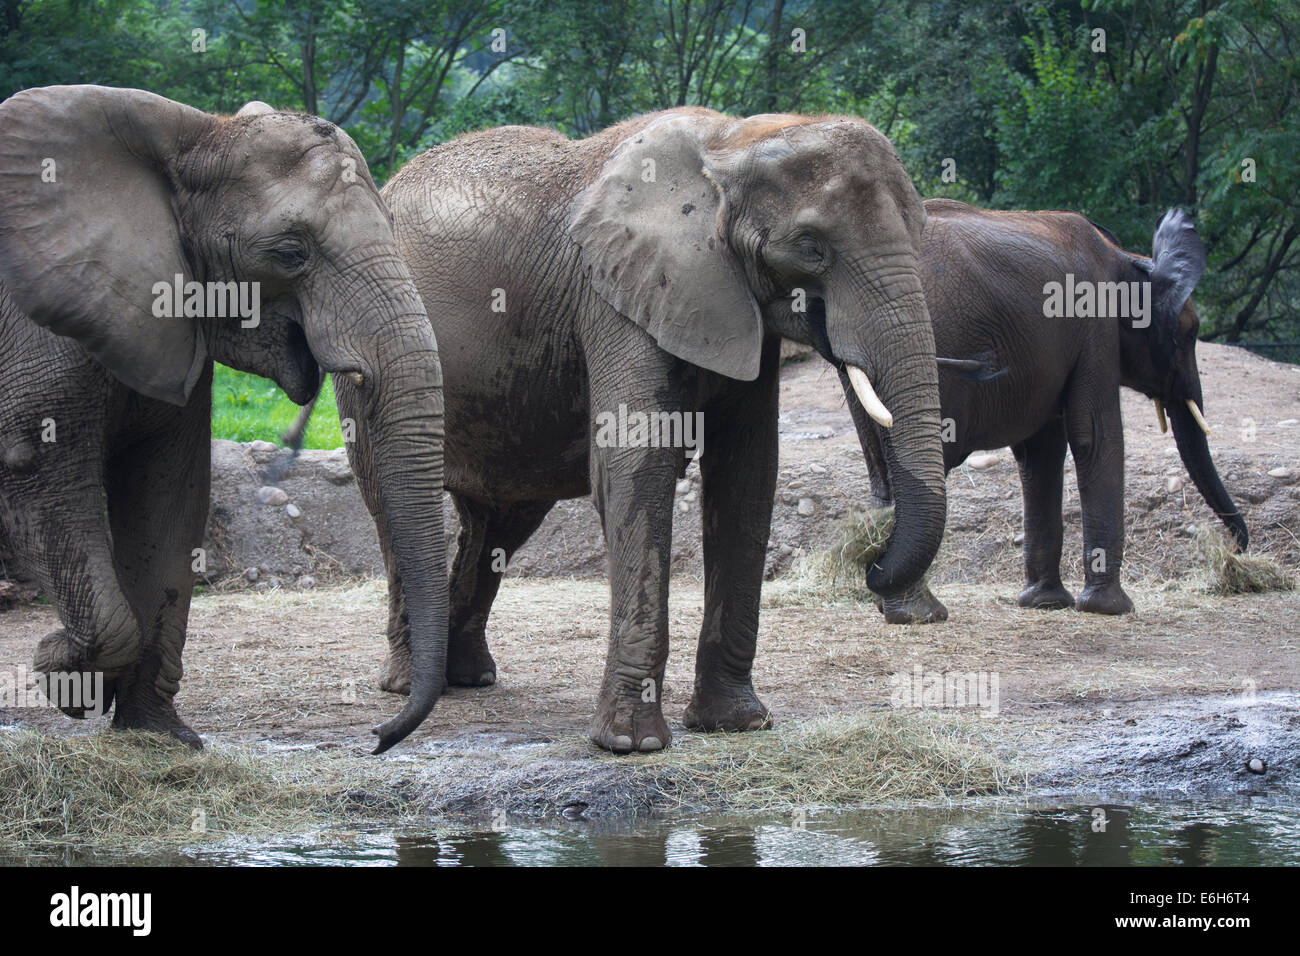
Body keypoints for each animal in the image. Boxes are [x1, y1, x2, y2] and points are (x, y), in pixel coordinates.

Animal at [0, 86, 449, 753]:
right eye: (289, 254)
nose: (376, 735)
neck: (193, 136)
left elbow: (170, 495)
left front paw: (159, 739)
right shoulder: (34, 333)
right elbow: (39, 474)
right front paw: (62, 675)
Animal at [344, 107, 947, 753]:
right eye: (812, 249)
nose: (873, 567)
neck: (731, 143)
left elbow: (747, 474)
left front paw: (736, 722)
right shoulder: (614, 296)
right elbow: (637, 466)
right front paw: (630, 744)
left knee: (500, 519)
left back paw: (465, 678)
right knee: (396, 503)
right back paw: (408, 684)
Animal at [855, 200, 1246, 623]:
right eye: (1187, 335)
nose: (1235, 550)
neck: (1129, 260)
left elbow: (1040, 452)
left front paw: (1045, 603)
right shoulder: (1096, 329)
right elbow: (1096, 436)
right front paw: (1111, 609)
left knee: (882, 468)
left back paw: (891, 603)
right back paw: (917, 609)